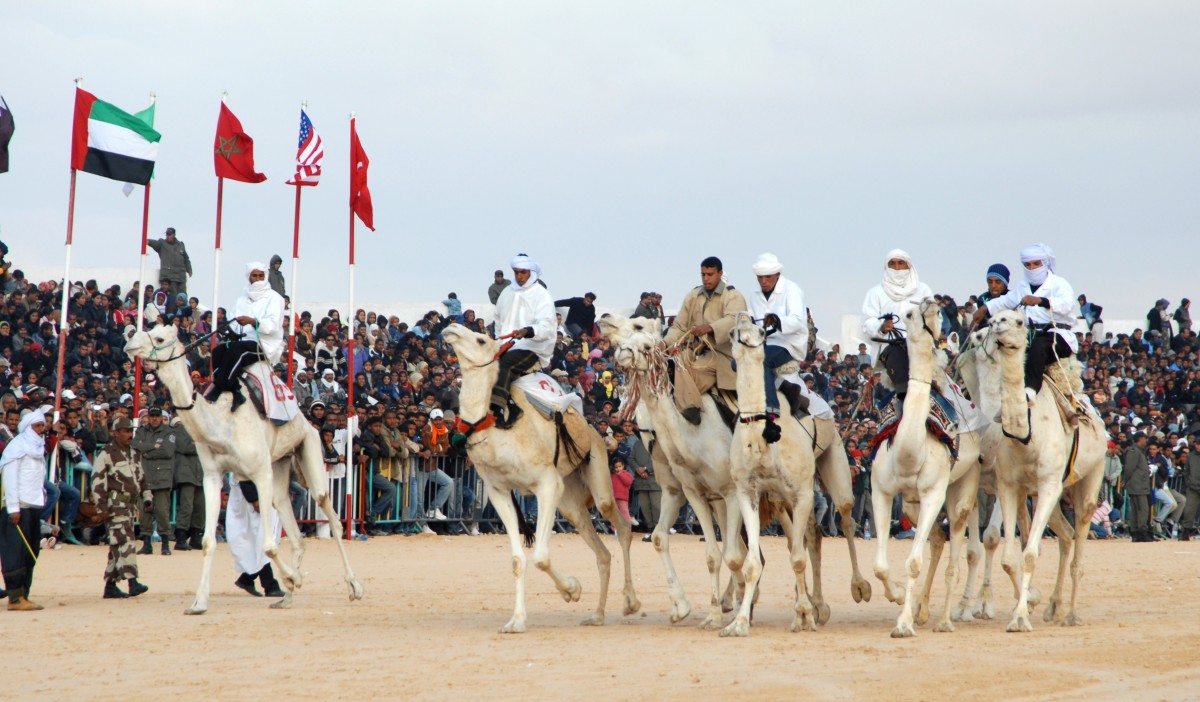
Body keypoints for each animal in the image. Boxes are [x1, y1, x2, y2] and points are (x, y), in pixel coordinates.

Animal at [126, 324, 362, 614]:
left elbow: (269, 546)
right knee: (292, 524)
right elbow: (208, 541)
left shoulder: (260, 473)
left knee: (328, 510)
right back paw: (286, 598)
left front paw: (293, 578)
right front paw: (198, 603)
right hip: (280, 463)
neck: (222, 424)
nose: (129, 344)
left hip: (309, 444)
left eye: (159, 337)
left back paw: (354, 587)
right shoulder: (212, 476)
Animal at [434, 321, 638, 628]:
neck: (496, 426)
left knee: (621, 526)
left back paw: (630, 603)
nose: (452, 327)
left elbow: (541, 556)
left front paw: (572, 590)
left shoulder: (546, 484)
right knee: (598, 547)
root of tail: (593, 429)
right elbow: (518, 560)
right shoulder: (499, 491)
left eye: (481, 340)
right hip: (569, 497)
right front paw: (517, 621)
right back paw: (597, 616)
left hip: (596, 468)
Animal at [720, 312, 816, 633]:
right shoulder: (747, 492)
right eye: (733, 332)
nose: (743, 321)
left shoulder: (803, 493)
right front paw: (738, 623)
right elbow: (752, 563)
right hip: (778, 501)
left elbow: (798, 557)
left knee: (810, 543)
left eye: (763, 331)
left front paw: (805, 616)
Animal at [984, 309, 1104, 628]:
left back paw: (1071, 614)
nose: (995, 325)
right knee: (1065, 534)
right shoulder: (1009, 484)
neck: (1027, 434)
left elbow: (1030, 554)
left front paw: (1020, 618)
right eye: (995, 315)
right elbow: (1011, 556)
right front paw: (1025, 607)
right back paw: (1054, 607)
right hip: (1044, 494)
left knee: (1079, 536)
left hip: (1091, 475)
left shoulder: (1049, 483)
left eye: (1018, 320)